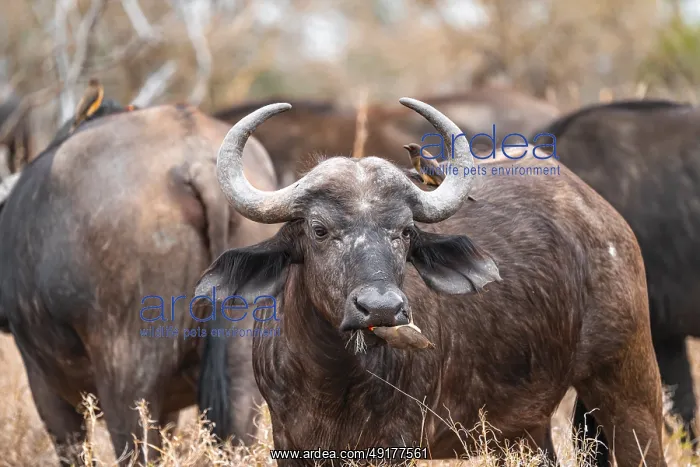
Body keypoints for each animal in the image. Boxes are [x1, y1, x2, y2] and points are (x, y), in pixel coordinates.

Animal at [196, 99, 666, 466]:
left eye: (405, 231)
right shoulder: (289, 441)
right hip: (524, 426)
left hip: (629, 383)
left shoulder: (397, 443)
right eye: (319, 229)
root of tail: (605, 220)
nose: (381, 308)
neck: (333, 376)